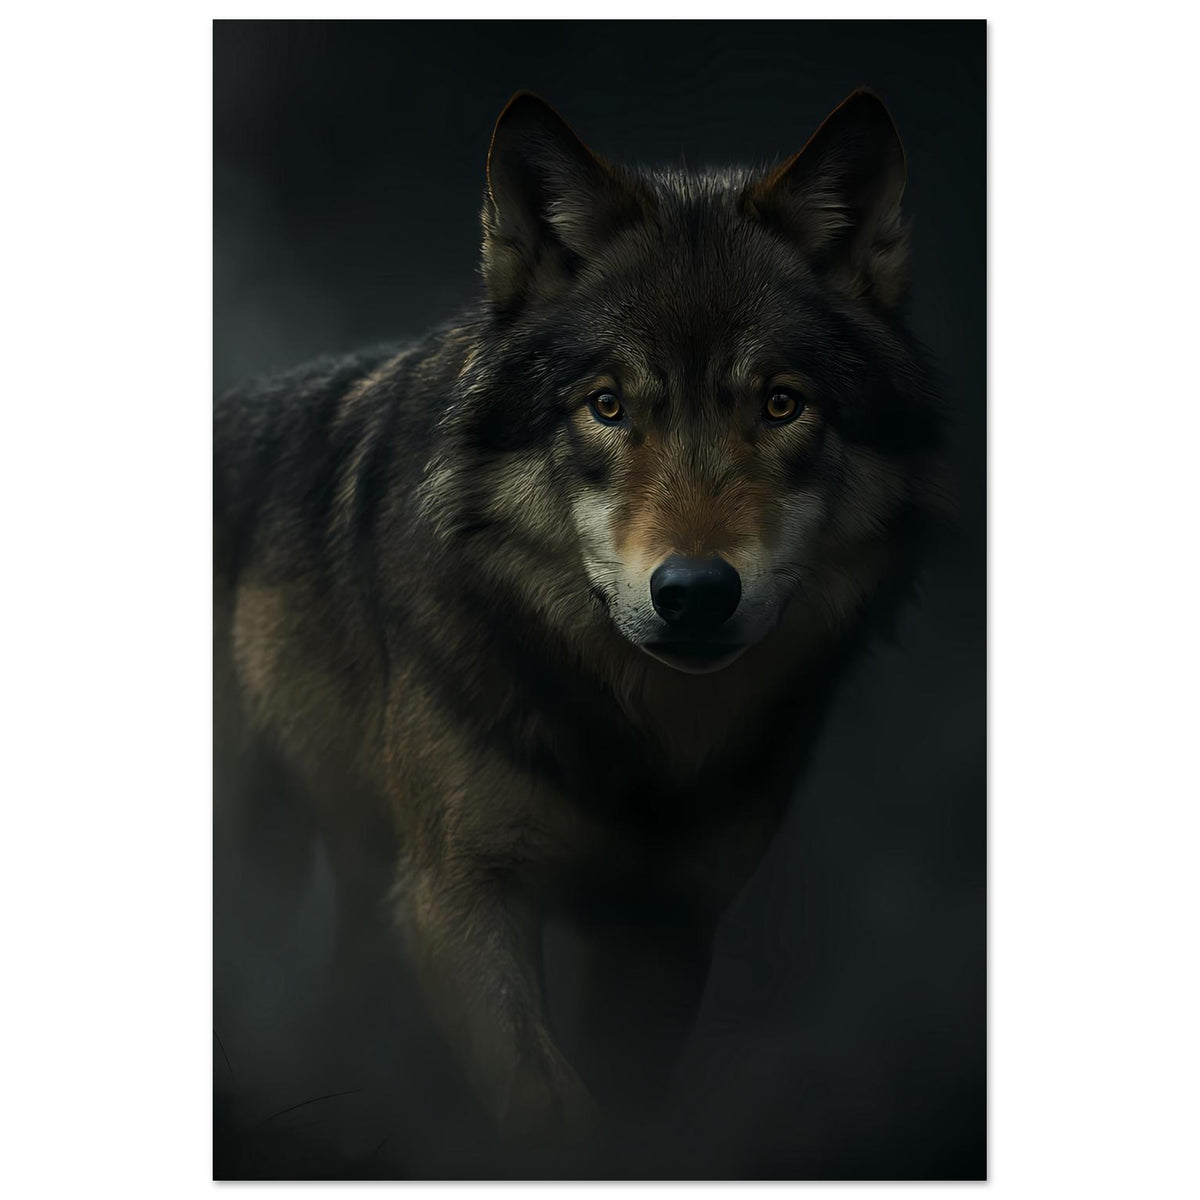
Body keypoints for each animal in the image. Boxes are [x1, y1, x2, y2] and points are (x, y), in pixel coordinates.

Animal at [214, 88, 945, 1147]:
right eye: (606, 406)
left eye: (780, 405)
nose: (694, 591)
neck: (635, 736)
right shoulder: (455, 895)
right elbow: (550, 1106)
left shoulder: (666, 925)